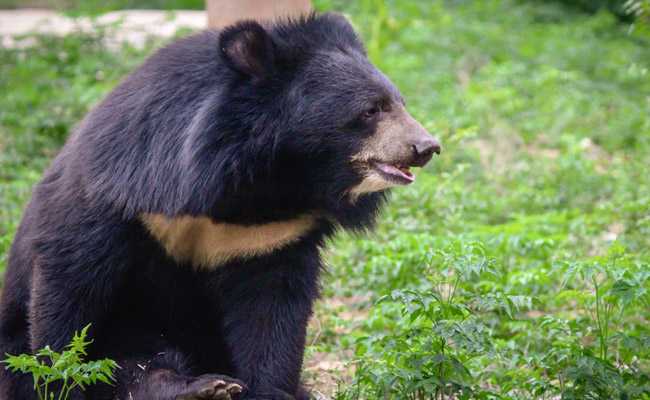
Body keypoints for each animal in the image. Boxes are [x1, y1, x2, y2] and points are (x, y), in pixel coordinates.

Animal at [0, 13, 440, 400]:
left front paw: (268, 390)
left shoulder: (273, 234)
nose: (426, 147)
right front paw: (58, 381)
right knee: (135, 361)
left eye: (399, 102)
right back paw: (195, 388)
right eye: (371, 110)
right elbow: (71, 281)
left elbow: (271, 313)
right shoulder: (121, 193)